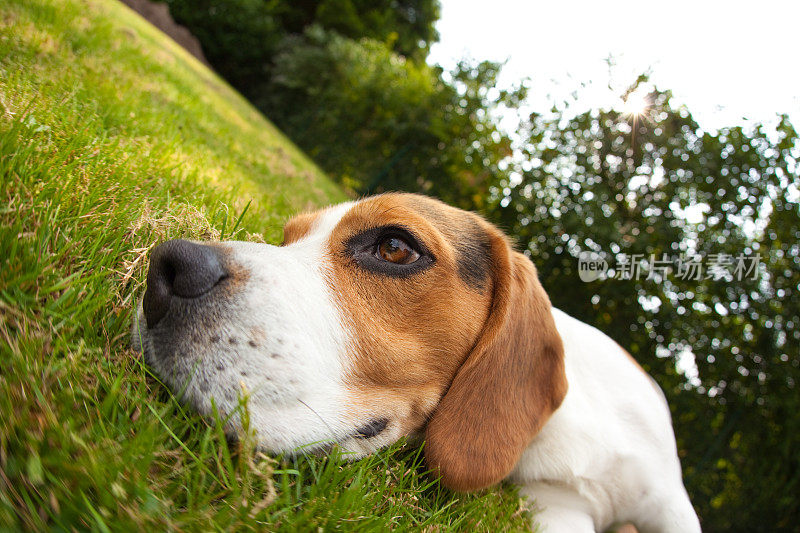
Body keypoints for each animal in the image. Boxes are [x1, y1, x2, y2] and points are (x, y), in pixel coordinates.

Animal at [131, 192, 700, 532]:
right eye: (287, 239)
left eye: (395, 247)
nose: (167, 269)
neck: (565, 424)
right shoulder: (556, 511)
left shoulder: (672, 501)